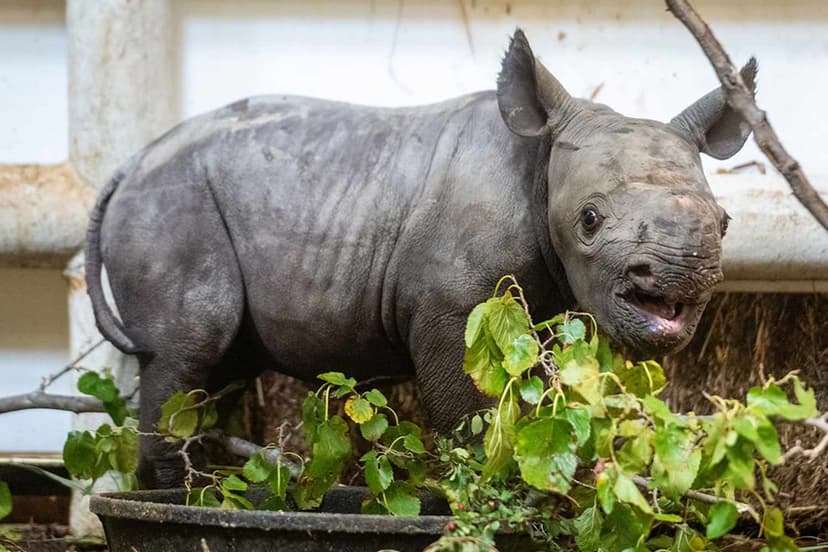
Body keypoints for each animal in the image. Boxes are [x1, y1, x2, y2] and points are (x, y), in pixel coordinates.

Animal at [86, 29, 755, 488]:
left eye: (725, 224)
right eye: (589, 220)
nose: (681, 274)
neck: (540, 166)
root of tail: (131, 163)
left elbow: (523, 400)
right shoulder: (447, 307)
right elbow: (469, 411)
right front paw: (478, 494)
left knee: (219, 367)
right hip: (173, 202)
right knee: (189, 347)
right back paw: (176, 498)